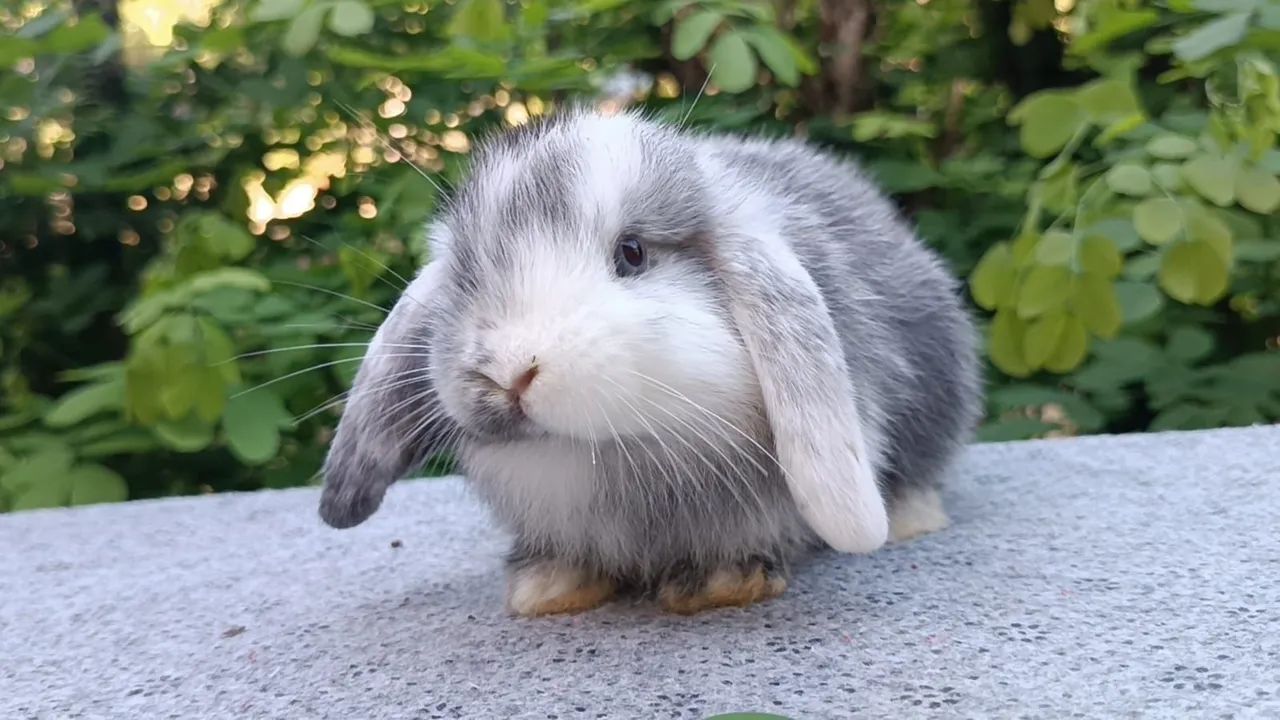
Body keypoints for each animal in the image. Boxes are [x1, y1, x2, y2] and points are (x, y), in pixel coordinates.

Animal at [317, 106, 982, 617]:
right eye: (465, 273)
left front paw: (717, 585)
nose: (508, 372)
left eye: (632, 253)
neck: (615, 463)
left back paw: (911, 518)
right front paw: (548, 589)